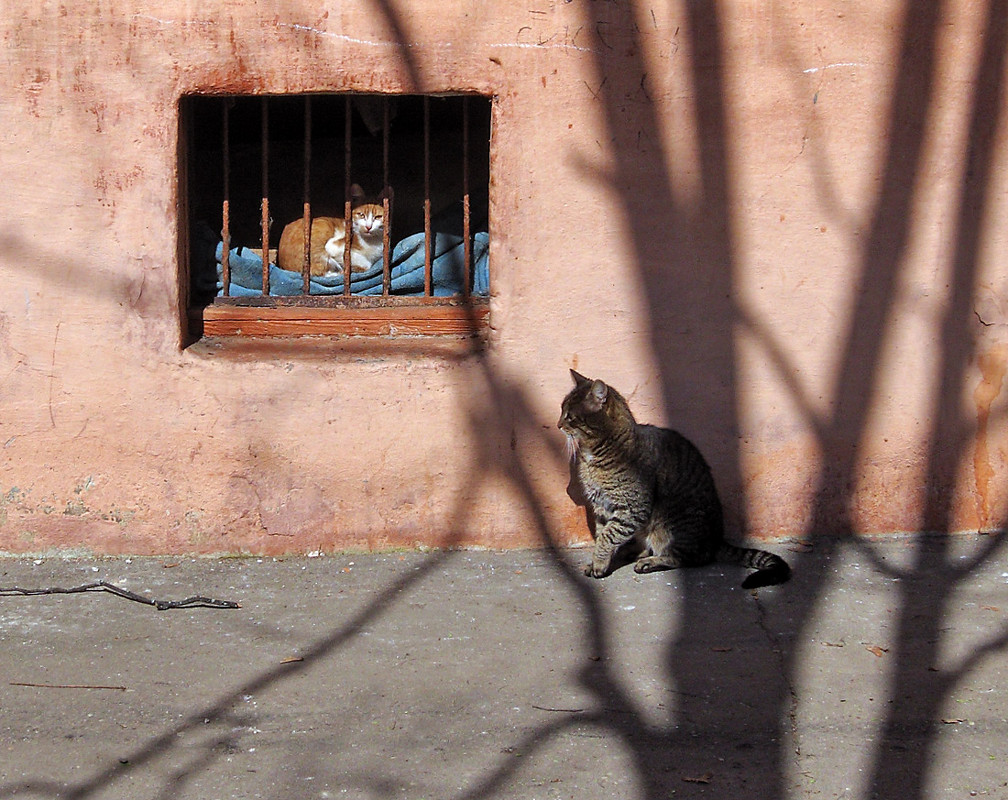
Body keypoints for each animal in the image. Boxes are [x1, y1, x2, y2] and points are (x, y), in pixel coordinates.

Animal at [560, 370, 786, 588]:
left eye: (570, 416)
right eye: (562, 410)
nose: (558, 424)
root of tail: (716, 540)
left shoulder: (632, 507)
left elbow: (608, 536)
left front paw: (599, 563)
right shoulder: (600, 507)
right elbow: (602, 534)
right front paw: (598, 561)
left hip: (674, 526)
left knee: (688, 558)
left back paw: (649, 562)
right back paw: (635, 552)